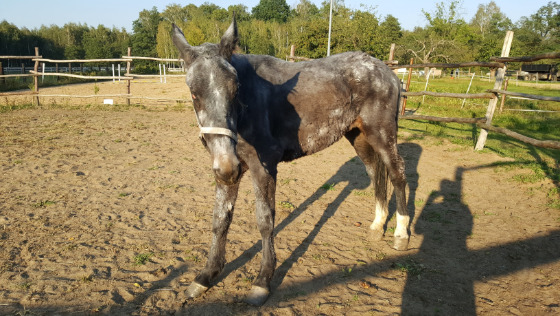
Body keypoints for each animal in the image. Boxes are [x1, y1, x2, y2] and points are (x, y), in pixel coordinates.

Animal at [173, 17, 410, 306]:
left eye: (235, 89)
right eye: (193, 92)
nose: (227, 167)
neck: (247, 107)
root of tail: (388, 72)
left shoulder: (262, 167)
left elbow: (265, 221)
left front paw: (262, 281)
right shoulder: (228, 171)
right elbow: (220, 219)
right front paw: (206, 276)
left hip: (384, 136)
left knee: (397, 174)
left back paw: (401, 234)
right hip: (360, 137)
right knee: (376, 173)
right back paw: (377, 226)